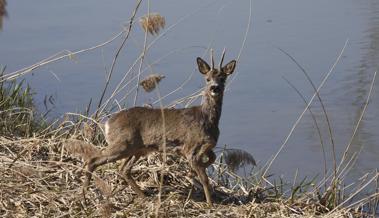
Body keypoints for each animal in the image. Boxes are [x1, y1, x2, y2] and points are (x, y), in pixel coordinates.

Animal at [83, 51, 236, 206]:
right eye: (207, 79)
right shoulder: (190, 147)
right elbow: (204, 178)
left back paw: (144, 196)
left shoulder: (207, 146)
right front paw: (210, 204)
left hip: (137, 149)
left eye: (223, 78)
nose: (214, 88)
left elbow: (212, 158)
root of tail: (108, 123)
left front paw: (191, 174)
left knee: (123, 169)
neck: (206, 119)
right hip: (122, 144)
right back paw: (84, 197)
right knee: (94, 160)